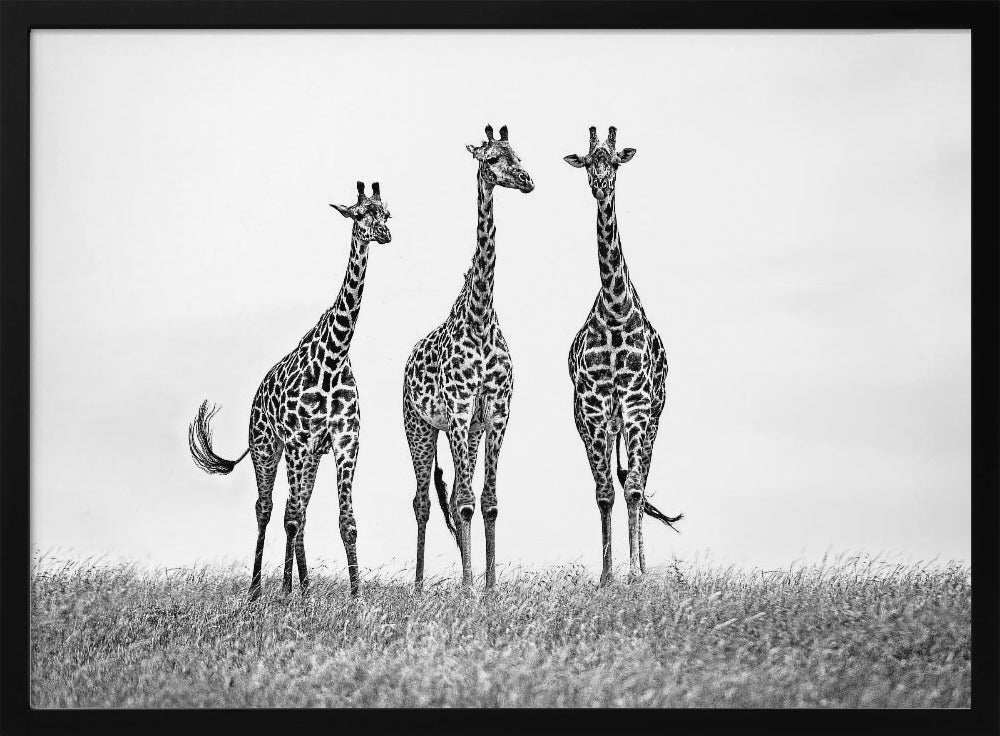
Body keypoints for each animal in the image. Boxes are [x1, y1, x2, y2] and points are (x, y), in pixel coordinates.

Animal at [187, 181, 391, 599]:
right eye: (360, 214)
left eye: (387, 213)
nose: (384, 234)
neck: (334, 355)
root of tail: (255, 397)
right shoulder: (297, 442)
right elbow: (290, 516)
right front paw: (290, 594)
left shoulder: (344, 441)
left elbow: (346, 521)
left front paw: (356, 597)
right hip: (267, 449)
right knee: (268, 509)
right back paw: (258, 591)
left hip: (308, 456)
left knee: (297, 510)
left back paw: (300, 587)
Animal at [403, 124, 534, 591]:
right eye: (492, 159)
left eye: (518, 154)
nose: (527, 181)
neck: (480, 319)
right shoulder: (459, 411)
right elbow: (461, 501)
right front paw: (467, 587)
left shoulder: (495, 413)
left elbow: (488, 500)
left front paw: (490, 586)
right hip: (419, 427)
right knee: (423, 500)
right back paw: (420, 584)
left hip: (466, 432)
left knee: (459, 492)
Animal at [564, 126, 683, 586]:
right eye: (587, 160)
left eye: (613, 161)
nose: (600, 184)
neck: (616, 309)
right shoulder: (594, 410)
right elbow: (604, 493)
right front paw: (606, 576)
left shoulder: (636, 405)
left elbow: (633, 489)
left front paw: (634, 574)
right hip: (603, 425)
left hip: (652, 419)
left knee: (640, 481)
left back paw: (645, 567)